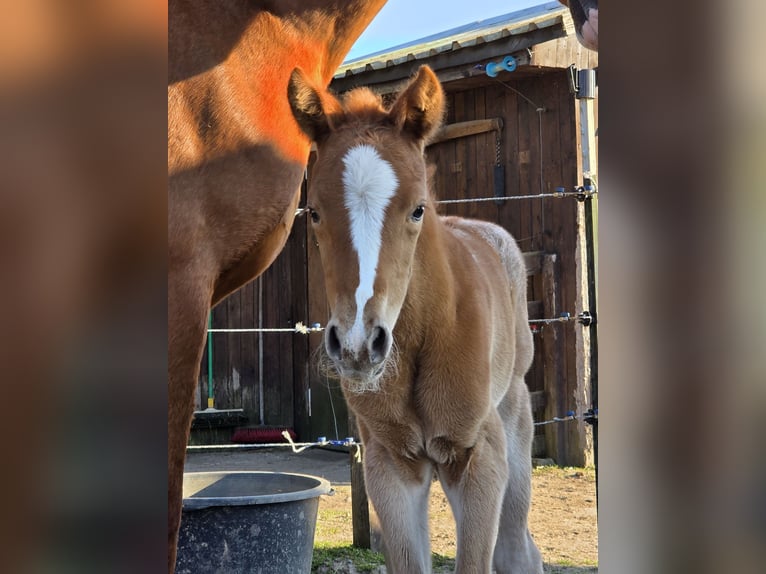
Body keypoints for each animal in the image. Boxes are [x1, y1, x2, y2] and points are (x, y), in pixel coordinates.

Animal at [288, 64, 543, 573]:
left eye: (417, 209)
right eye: (314, 213)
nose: (358, 346)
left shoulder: (478, 458)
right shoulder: (390, 464)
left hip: (514, 420)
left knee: (516, 546)